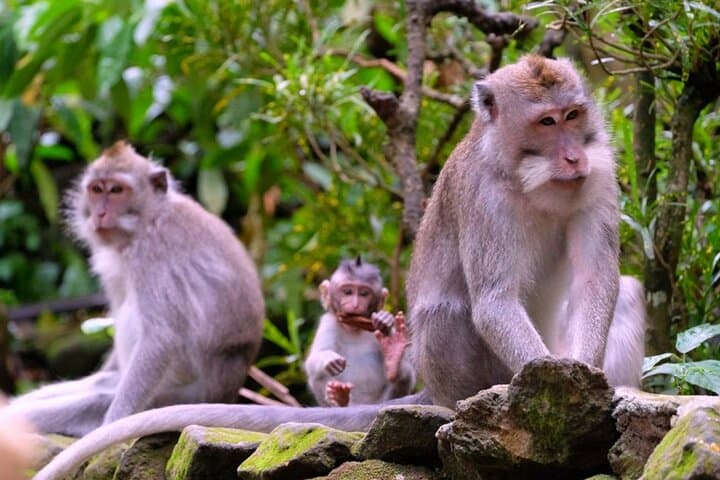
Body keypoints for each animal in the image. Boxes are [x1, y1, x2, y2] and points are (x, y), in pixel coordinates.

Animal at [8, 142, 265, 437]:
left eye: (116, 190)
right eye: (97, 190)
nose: (100, 213)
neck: (149, 219)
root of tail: (225, 392)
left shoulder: (152, 252)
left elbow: (161, 337)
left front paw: (111, 426)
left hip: (172, 396)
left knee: (97, 398)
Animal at [304, 258, 415, 407]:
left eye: (364, 294)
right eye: (348, 292)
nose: (355, 304)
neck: (354, 328)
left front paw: (384, 320)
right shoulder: (328, 322)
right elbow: (312, 361)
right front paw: (329, 358)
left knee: (405, 376)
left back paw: (394, 361)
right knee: (317, 375)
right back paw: (339, 398)